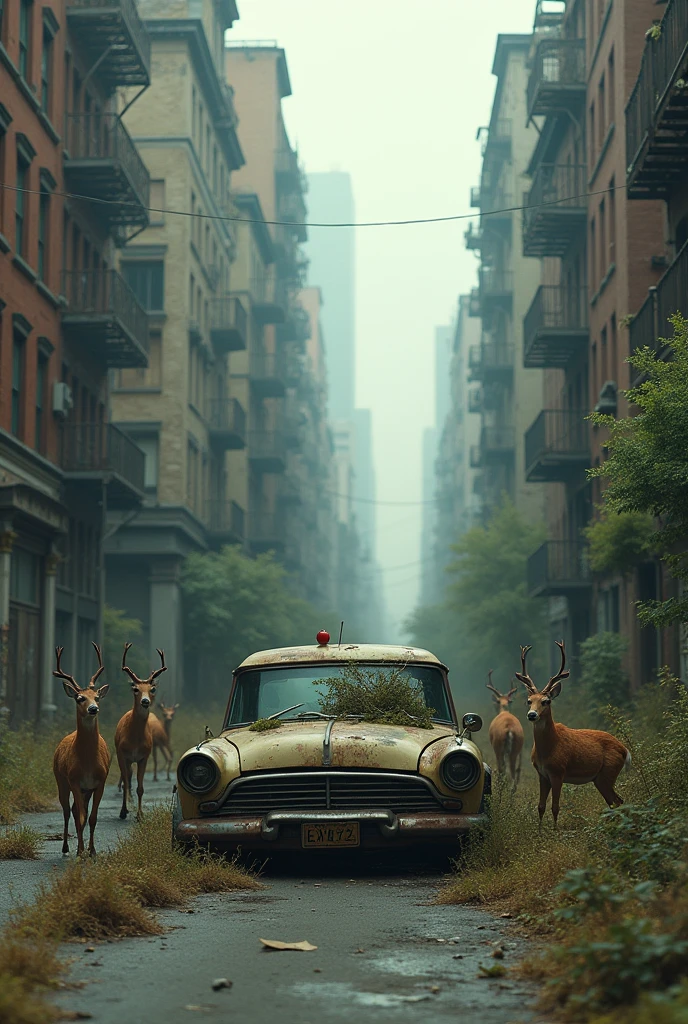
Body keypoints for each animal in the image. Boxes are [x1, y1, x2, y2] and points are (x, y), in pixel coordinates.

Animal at [52, 647, 111, 856]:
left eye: (97, 697)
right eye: (80, 698)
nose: (93, 708)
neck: (87, 763)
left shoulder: (99, 782)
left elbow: (92, 818)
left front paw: (92, 851)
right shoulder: (74, 780)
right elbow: (80, 817)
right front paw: (80, 851)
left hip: (85, 790)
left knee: (75, 810)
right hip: (61, 780)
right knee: (67, 811)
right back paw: (65, 847)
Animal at [114, 643, 166, 819]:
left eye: (152, 689)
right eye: (136, 689)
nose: (145, 701)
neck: (135, 740)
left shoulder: (144, 756)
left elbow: (141, 788)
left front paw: (140, 814)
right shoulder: (122, 754)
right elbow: (126, 781)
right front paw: (123, 811)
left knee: (130, 778)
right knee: (126, 778)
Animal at [513, 638, 630, 823]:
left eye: (546, 701)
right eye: (529, 700)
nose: (532, 715)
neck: (548, 750)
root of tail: (625, 750)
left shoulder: (558, 772)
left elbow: (555, 808)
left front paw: (555, 829)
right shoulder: (542, 774)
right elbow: (540, 807)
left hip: (608, 772)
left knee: (617, 801)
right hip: (600, 779)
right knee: (617, 802)